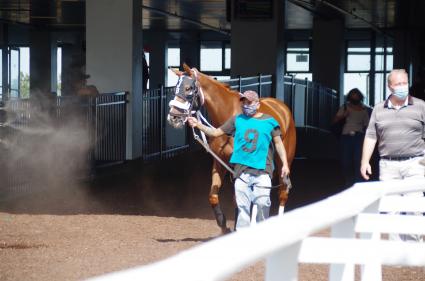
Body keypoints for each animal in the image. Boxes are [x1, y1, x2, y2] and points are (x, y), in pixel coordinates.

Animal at [166, 64, 294, 233]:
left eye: (189, 88)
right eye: (175, 88)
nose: (173, 117)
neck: (227, 115)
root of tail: (282, 107)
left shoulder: (238, 167)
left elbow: (238, 199)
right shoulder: (219, 162)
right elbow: (213, 196)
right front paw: (223, 225)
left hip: (284, 161)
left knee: (283, 191)